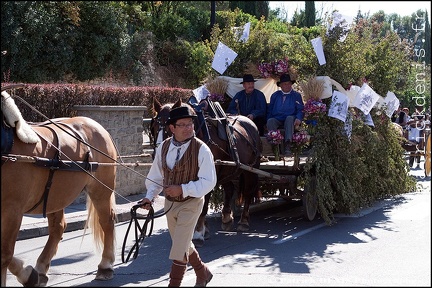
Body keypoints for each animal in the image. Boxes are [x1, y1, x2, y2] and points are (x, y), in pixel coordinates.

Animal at [1, 86, 118, 286]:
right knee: (58, 227)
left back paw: (105, 265)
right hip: (56, 194)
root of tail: (98, 127)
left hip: (101, 190)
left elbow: (4, 254)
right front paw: (28, 274)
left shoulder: (12, 210)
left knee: (107, 221)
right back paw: (40, 269)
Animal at [150, 98, 262, 246]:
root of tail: (249, 122)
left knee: (248, 191)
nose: (157, 154)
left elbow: (203, 204)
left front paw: (198, 232)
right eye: (154, 127)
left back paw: (243, 221)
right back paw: (227, 217)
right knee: (230, 189)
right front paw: (204, 229)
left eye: (170, 126)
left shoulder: (207, 176)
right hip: (227, 170)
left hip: (251, 169)